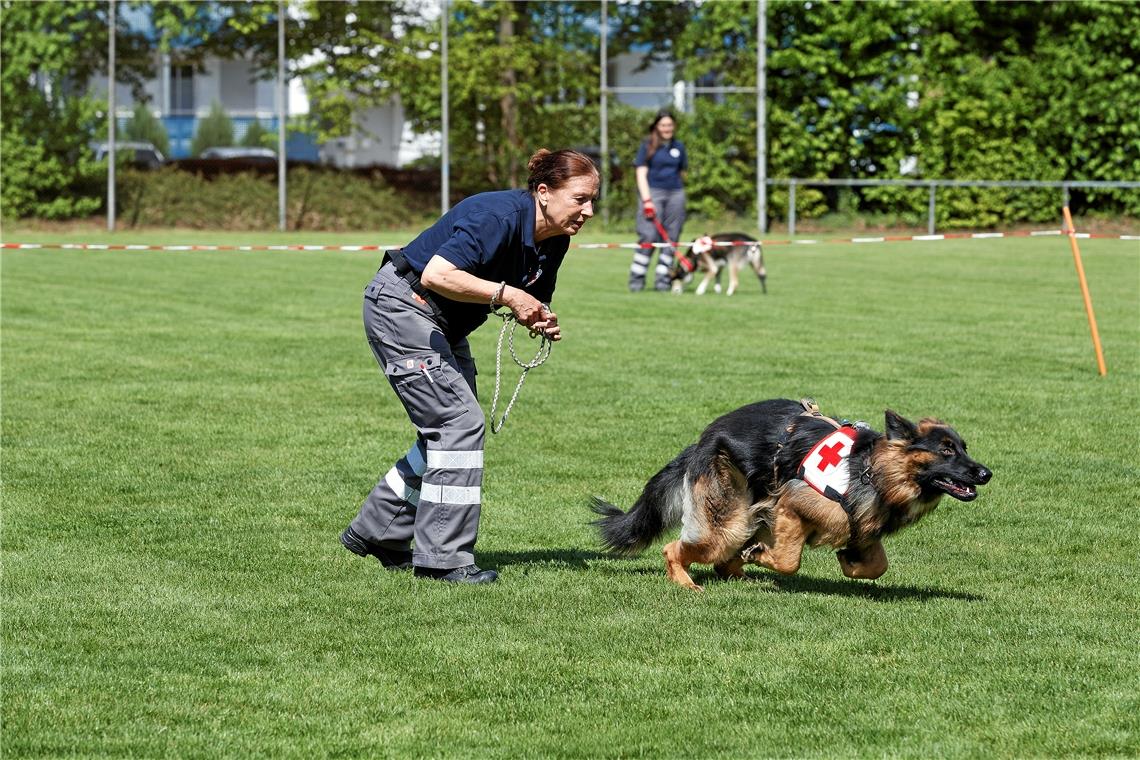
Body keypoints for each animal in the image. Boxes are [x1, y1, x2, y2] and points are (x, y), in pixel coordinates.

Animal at [592, 401, 994, 592]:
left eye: (963, 447)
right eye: (946, 451)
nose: (986, 473)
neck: (872, 469)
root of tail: (703, 441)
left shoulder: (864, 527)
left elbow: (876, 564)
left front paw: (849, 562)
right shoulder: (792, 503)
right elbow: (789, 560)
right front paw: (764, 557)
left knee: (722, 562)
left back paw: (743, 575)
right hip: (733, 521)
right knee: (675, 549)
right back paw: (689, 582)